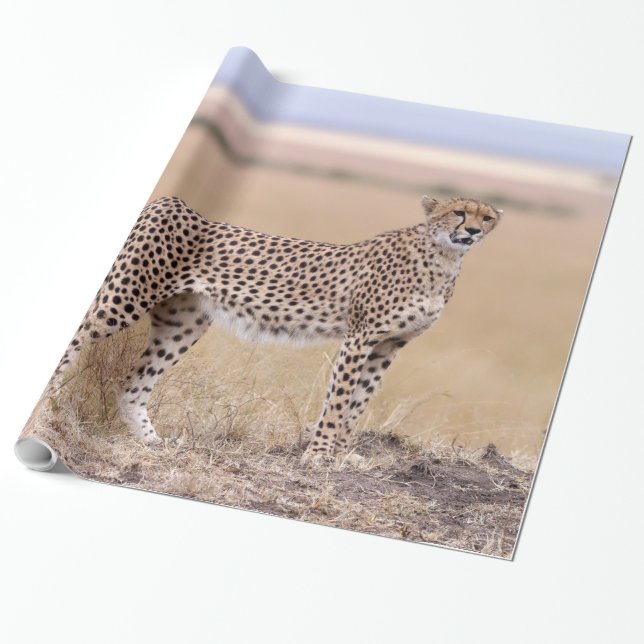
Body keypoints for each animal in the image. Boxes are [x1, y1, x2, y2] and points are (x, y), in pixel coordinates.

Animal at [54, 195, 502, 465]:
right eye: (459, 212)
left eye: (487, 217)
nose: (473, 230)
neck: (444, 258)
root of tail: (174, 202)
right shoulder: (359, 338)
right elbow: (338, 402)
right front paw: (319, 456)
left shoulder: (387, 346)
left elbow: (357, 405)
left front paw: (341, 456)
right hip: (124, 299)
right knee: (74, 345)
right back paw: (52, 407)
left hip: (185, 322)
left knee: (133, 384)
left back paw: (150, 441)